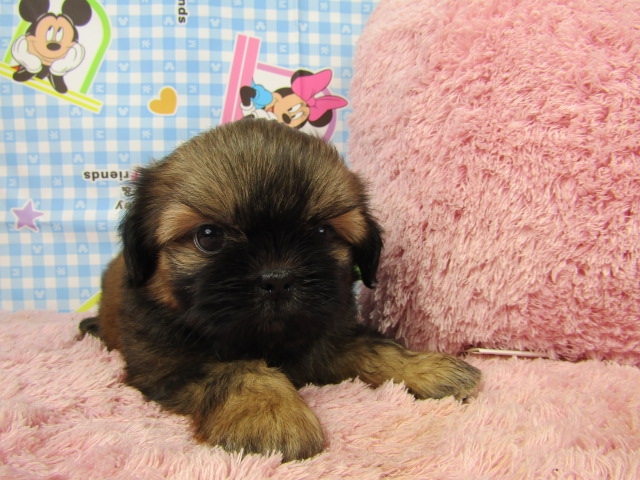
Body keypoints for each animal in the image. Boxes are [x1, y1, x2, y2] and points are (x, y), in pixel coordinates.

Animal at [79, 119, 481, 461]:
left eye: (322, 232)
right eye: (208, 237)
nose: (276, 279)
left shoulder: (328, 338)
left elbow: (376, 346)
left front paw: (427, 368)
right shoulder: (169, 366)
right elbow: (238, 370)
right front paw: (271, 413)